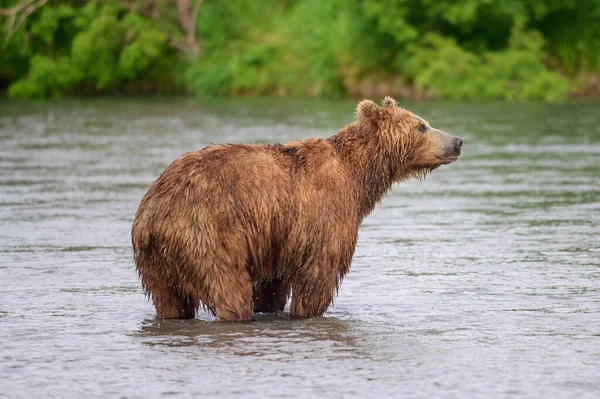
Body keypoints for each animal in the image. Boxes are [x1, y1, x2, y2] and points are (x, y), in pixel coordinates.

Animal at [132, 97, 464, 322]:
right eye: (421, 125)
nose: (458, 141)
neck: (359, 175)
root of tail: (153, 213)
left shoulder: (275, 238)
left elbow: (271, 287)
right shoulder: (324, 214)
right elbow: (318, 275)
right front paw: (309, 310)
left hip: (157, 264)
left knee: (170, 300)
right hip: (208, 234)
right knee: (229, 288)